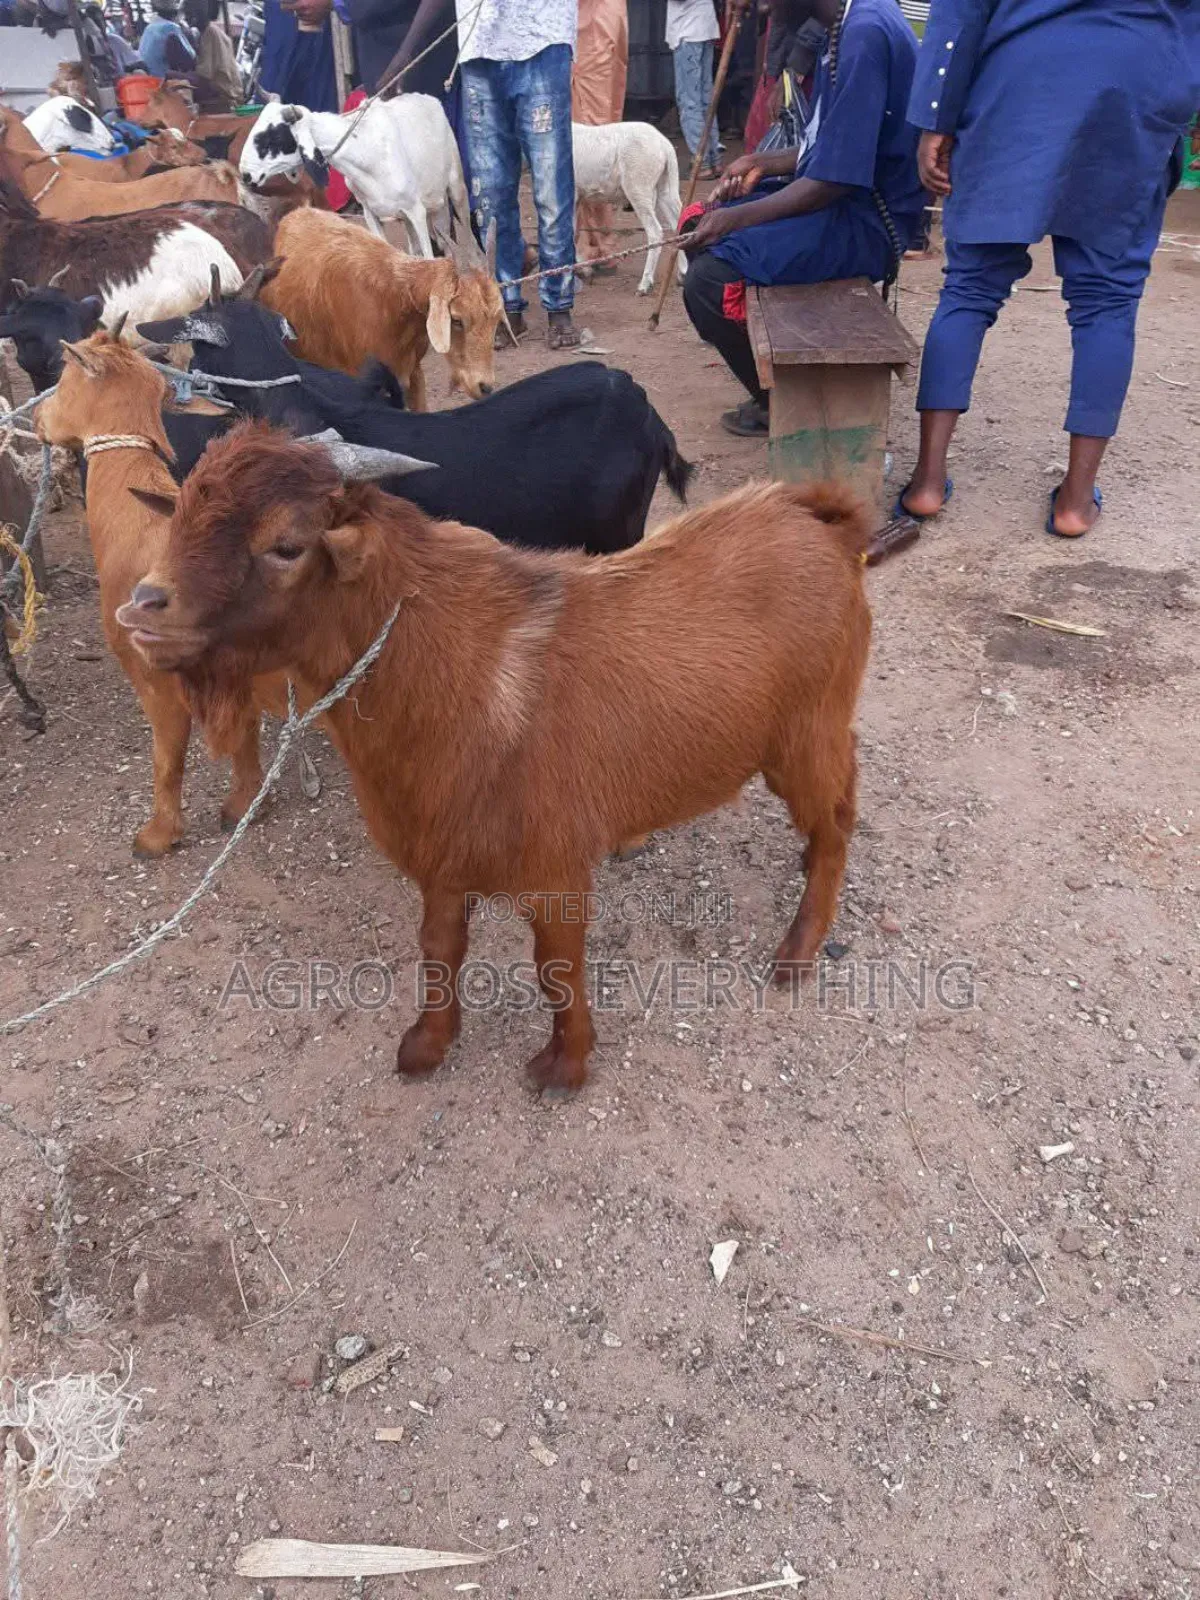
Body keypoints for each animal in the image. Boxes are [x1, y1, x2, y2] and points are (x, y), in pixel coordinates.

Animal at [118, 424, 871, 1092]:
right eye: (180, 516)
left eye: (287, 545)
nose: (143, 609)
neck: (458, 670)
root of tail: (821, 520)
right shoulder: (442, 851)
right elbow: (440, 945)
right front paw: (427, 1045)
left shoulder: (556, 867)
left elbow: (556, 966)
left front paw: (565, 1067)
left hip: (809, 734)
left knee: (838, 821)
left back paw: (798, 950)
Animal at [241, 97, 467, 255]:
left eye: (273, 137)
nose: (245, 174)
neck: (365, 150)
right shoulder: (371, 213)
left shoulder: (416, 211)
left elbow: (430, 256)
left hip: (456, 189)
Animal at [572, 121, 684, 296]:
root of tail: (665, 145)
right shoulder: (577, 196)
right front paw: (582, 268)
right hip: (665, 185)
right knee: (679, 220)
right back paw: (682, 275)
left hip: (638, 185)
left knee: (655, 231)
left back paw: (645, 285)